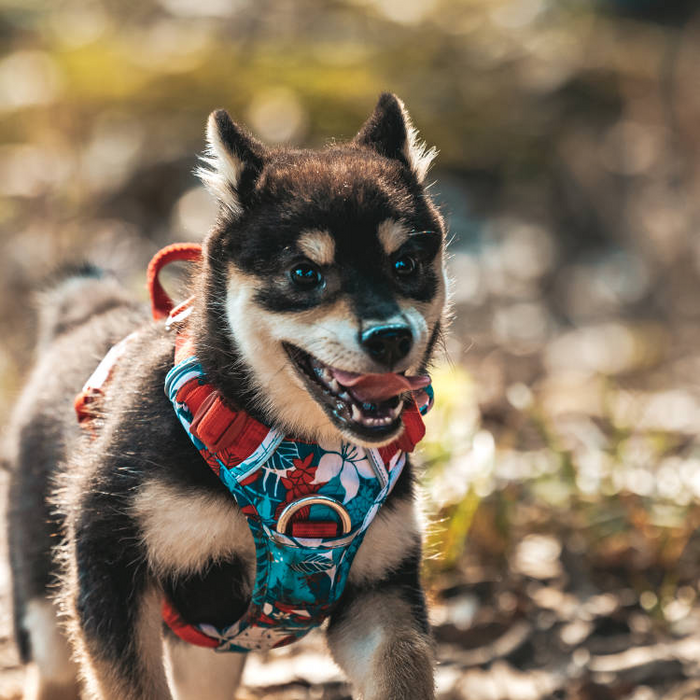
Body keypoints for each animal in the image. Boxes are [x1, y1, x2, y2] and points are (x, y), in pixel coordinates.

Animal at [6, 94, 448, 700]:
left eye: (405, 263)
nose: (390, 337)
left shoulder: (380, 592)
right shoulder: (109, 566)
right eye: (304, 273)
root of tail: (85, 311)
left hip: (207, 642)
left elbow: (406, 666)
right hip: (47, 609)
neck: (292, 445)